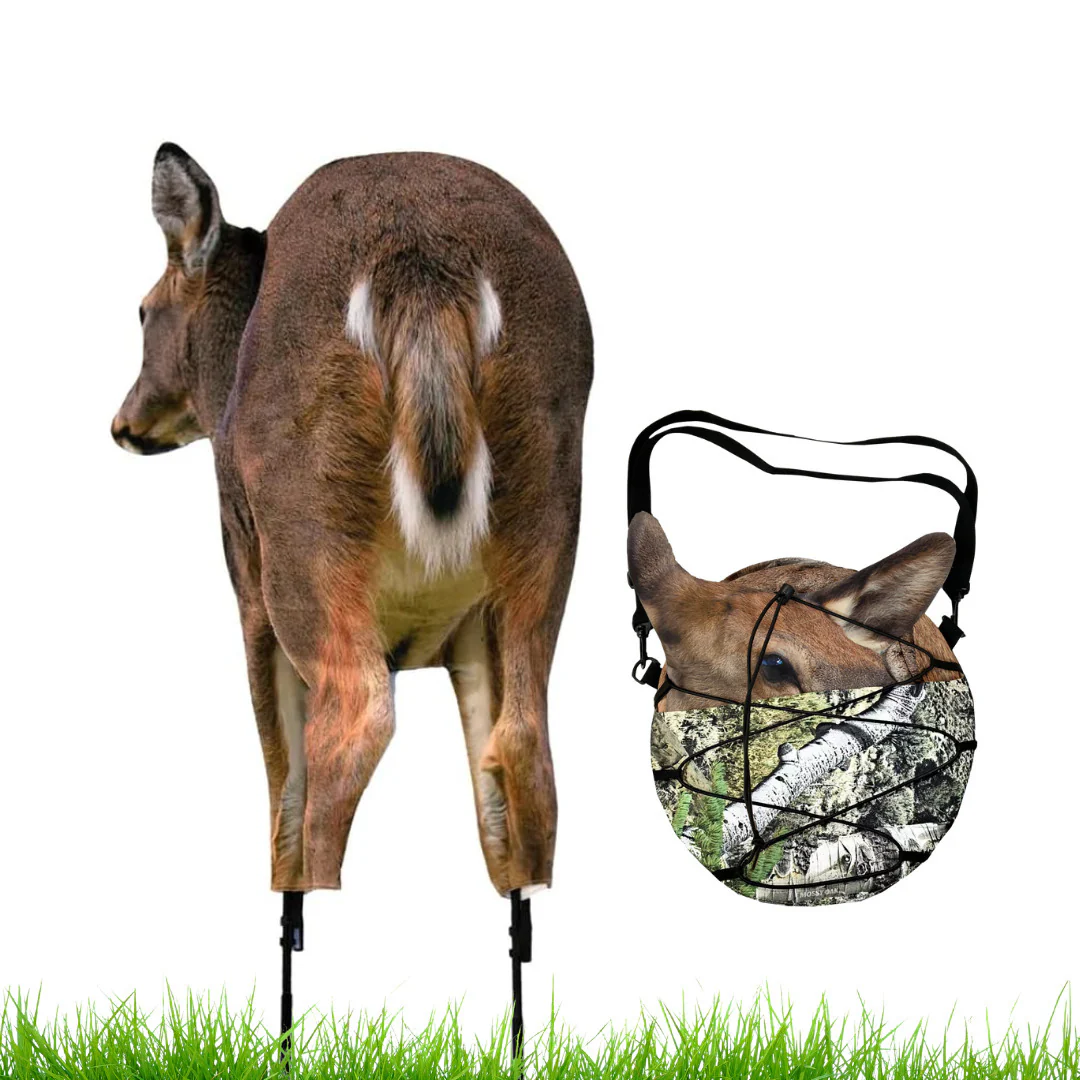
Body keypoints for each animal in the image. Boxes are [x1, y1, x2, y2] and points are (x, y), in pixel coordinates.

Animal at [112, 144, 591, 1045]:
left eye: (143, 310)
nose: (123, 424)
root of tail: (423, 266)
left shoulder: (246, 578)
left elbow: (281, 777)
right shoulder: (465, 632)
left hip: (301, 533)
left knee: (352, 724)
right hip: (550, 517)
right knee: (524, 746)